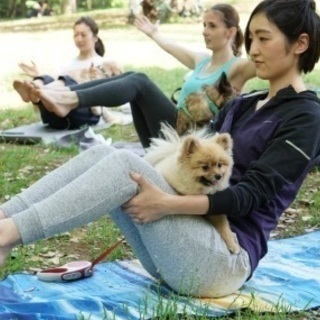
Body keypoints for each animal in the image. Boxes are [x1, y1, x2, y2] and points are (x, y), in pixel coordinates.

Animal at [145, 124, 240, 254]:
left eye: (220, 165)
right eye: (205, 167)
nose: (218, 176)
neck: (199, 189)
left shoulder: (216, 212)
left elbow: (224, 227)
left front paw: (233, 245)